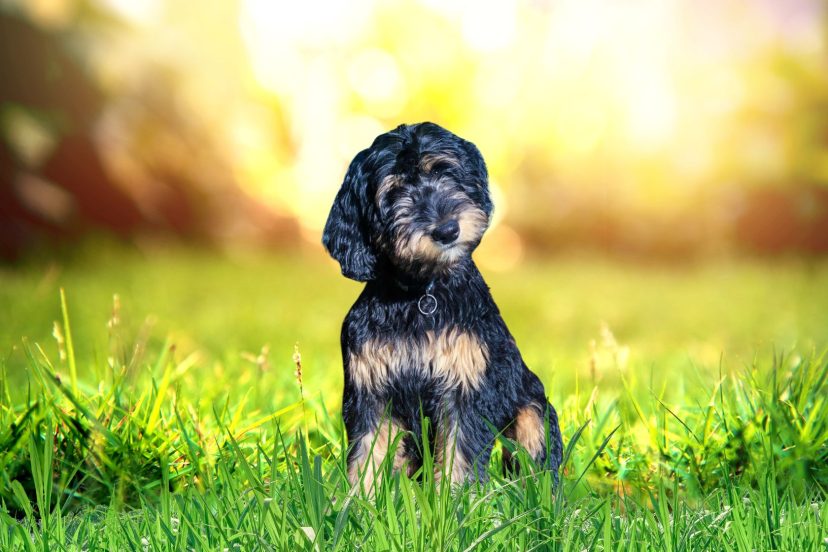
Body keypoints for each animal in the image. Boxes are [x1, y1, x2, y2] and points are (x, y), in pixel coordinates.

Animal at [322, 122, 564, 492]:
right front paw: (359, 502)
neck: (421, 294)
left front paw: (452, 502)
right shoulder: (370, 393)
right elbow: (366, 457)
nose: (447, 230)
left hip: (534, 412)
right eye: (394, 192)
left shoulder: (465, 389)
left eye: (443, 171)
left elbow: (458, 457)